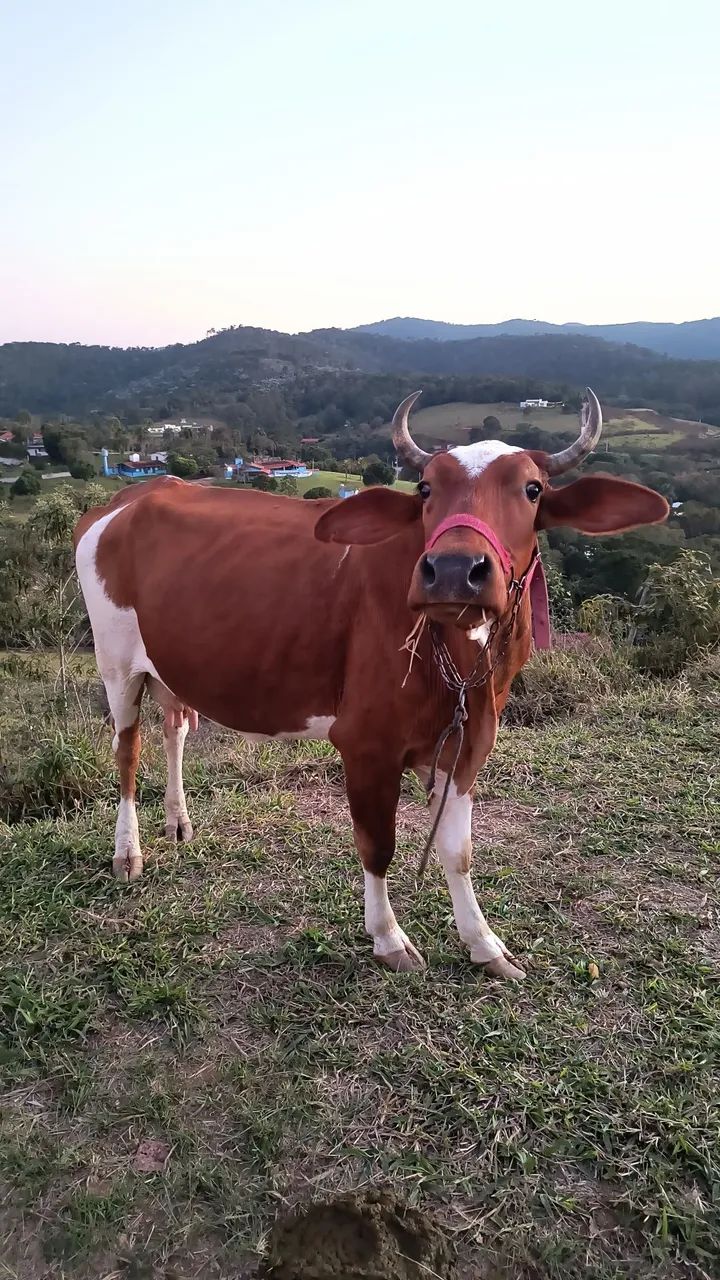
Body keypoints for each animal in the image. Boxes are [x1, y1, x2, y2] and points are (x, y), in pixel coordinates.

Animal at [74, 391, 668, 979]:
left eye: (532, 488)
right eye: (426, 488)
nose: (454, 570)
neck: (462, 666)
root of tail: (138, 493)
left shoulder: (471, 739)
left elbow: (458, 851)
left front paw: (484, 943)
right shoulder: (365, 743)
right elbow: (377, 845)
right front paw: (388, 938)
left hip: (169, 663)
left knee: (174, 728)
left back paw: (178, 822)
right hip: (116, 661)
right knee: (128, 750)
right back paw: (128, 852)